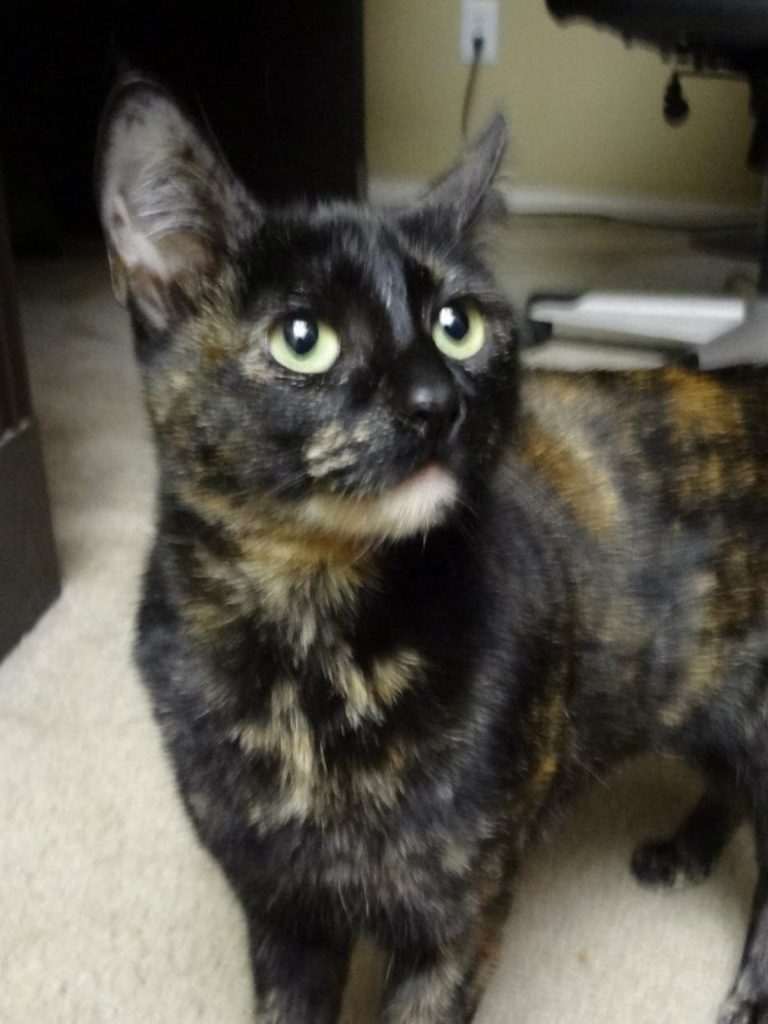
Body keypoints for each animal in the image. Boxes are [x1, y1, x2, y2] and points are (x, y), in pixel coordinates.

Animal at [99, 77, 768, 1024]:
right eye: (302, 338)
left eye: (457, 325)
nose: (435, 399)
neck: (313, 652)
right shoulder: (282, 913)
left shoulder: (457, 920)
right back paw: (686, 850)